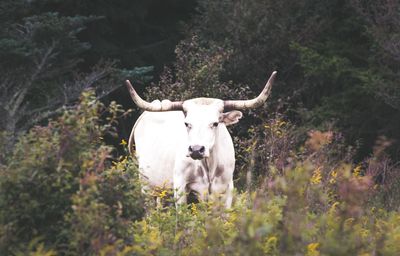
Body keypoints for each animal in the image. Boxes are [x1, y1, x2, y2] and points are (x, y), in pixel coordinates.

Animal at [126, 71, 276, 207]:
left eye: (215, 123)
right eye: (187, 123)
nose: (196, 150)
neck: (209, 167)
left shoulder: (227, 188)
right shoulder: (180, 187)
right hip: (146, 186)